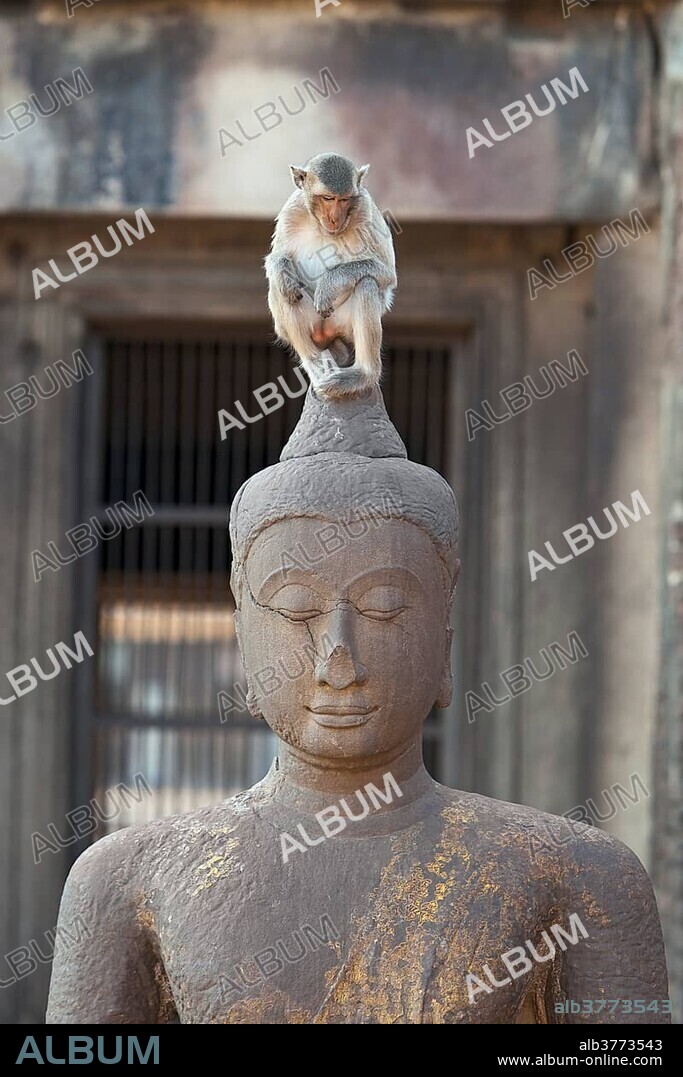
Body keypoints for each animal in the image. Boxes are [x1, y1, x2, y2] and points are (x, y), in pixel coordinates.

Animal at [264, 152, 397, 399]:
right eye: (328, 198)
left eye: (344, 200)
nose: (335, 218)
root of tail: (326, 335)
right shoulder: (292, 208)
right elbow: (277, 258)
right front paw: (282, 268)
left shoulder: (365, 210)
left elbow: (386, 273)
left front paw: (329, 285)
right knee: (282, 288)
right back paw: (315, 362)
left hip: (343, 324)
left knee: (366, 283)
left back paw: (363, 375)